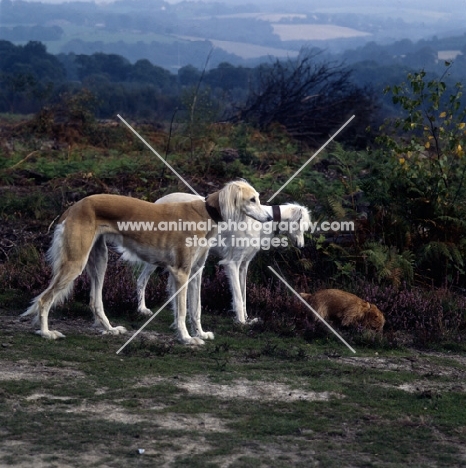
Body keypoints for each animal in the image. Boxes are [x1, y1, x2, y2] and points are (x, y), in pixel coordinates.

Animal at [21, 179, 272, 344]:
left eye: (258, 198)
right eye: (252, 200)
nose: (270, 217)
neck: (206, 213)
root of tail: (74, 206)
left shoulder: (195, 272)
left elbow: (196, 308)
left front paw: (200, 333)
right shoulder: (180, 272)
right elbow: (182, 310)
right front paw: (186, 338)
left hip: (99, 259)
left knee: (95, 301)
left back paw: (110, 329)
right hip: (75, 262)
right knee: (44, 299)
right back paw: (46, 333)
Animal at [134, 192, 310, 324]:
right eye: (302, 226)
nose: (302, 246)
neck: (260, 223)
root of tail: (157, 202)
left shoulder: (244, 265)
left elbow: (244, 294)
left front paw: (247, 318)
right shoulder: (232, 263)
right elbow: (238, 296)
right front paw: (242, 322)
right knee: (141, 279)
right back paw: (142, 309)